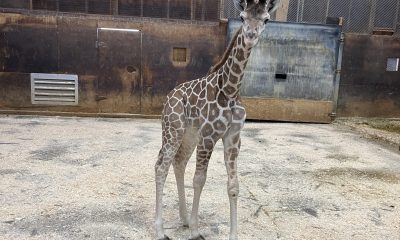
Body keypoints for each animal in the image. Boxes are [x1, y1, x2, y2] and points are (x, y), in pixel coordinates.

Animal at [155, 0, 280, 239]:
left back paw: (184, 219)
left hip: (189, 135)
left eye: (266, 19)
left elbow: (233, 186)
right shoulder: (209, 136)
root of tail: (170, 95)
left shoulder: (233, 138)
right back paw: (159, 229)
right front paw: (196, 231)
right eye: (242, 17)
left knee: (179, 162)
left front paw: (232, 234)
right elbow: (199, 180)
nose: (251, 35)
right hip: (173, 129)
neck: (230, 91)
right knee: (161, 167)